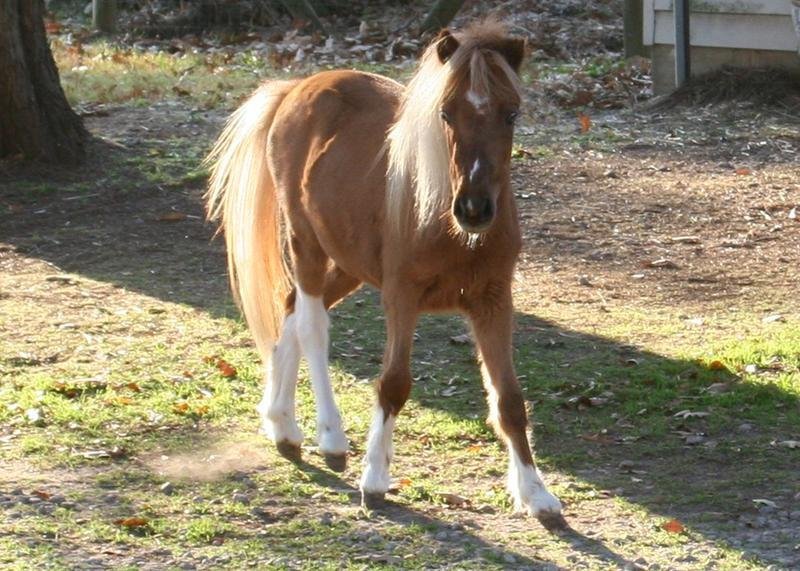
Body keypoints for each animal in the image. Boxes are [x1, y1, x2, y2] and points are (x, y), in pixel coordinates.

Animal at [205, 20, 565, 530]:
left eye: (511, 113)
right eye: (446, 114)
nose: (474, 208)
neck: (449, 226)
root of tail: (296, 87)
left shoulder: (493, 300)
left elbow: (509, 399)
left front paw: (536, 494)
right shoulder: (401, 296)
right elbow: (394, 382)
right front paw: (375, 478)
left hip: (347, 264)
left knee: (291, 312)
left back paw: (282, 425)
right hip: (305, 243)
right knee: (311, 325)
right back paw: (331, 438)